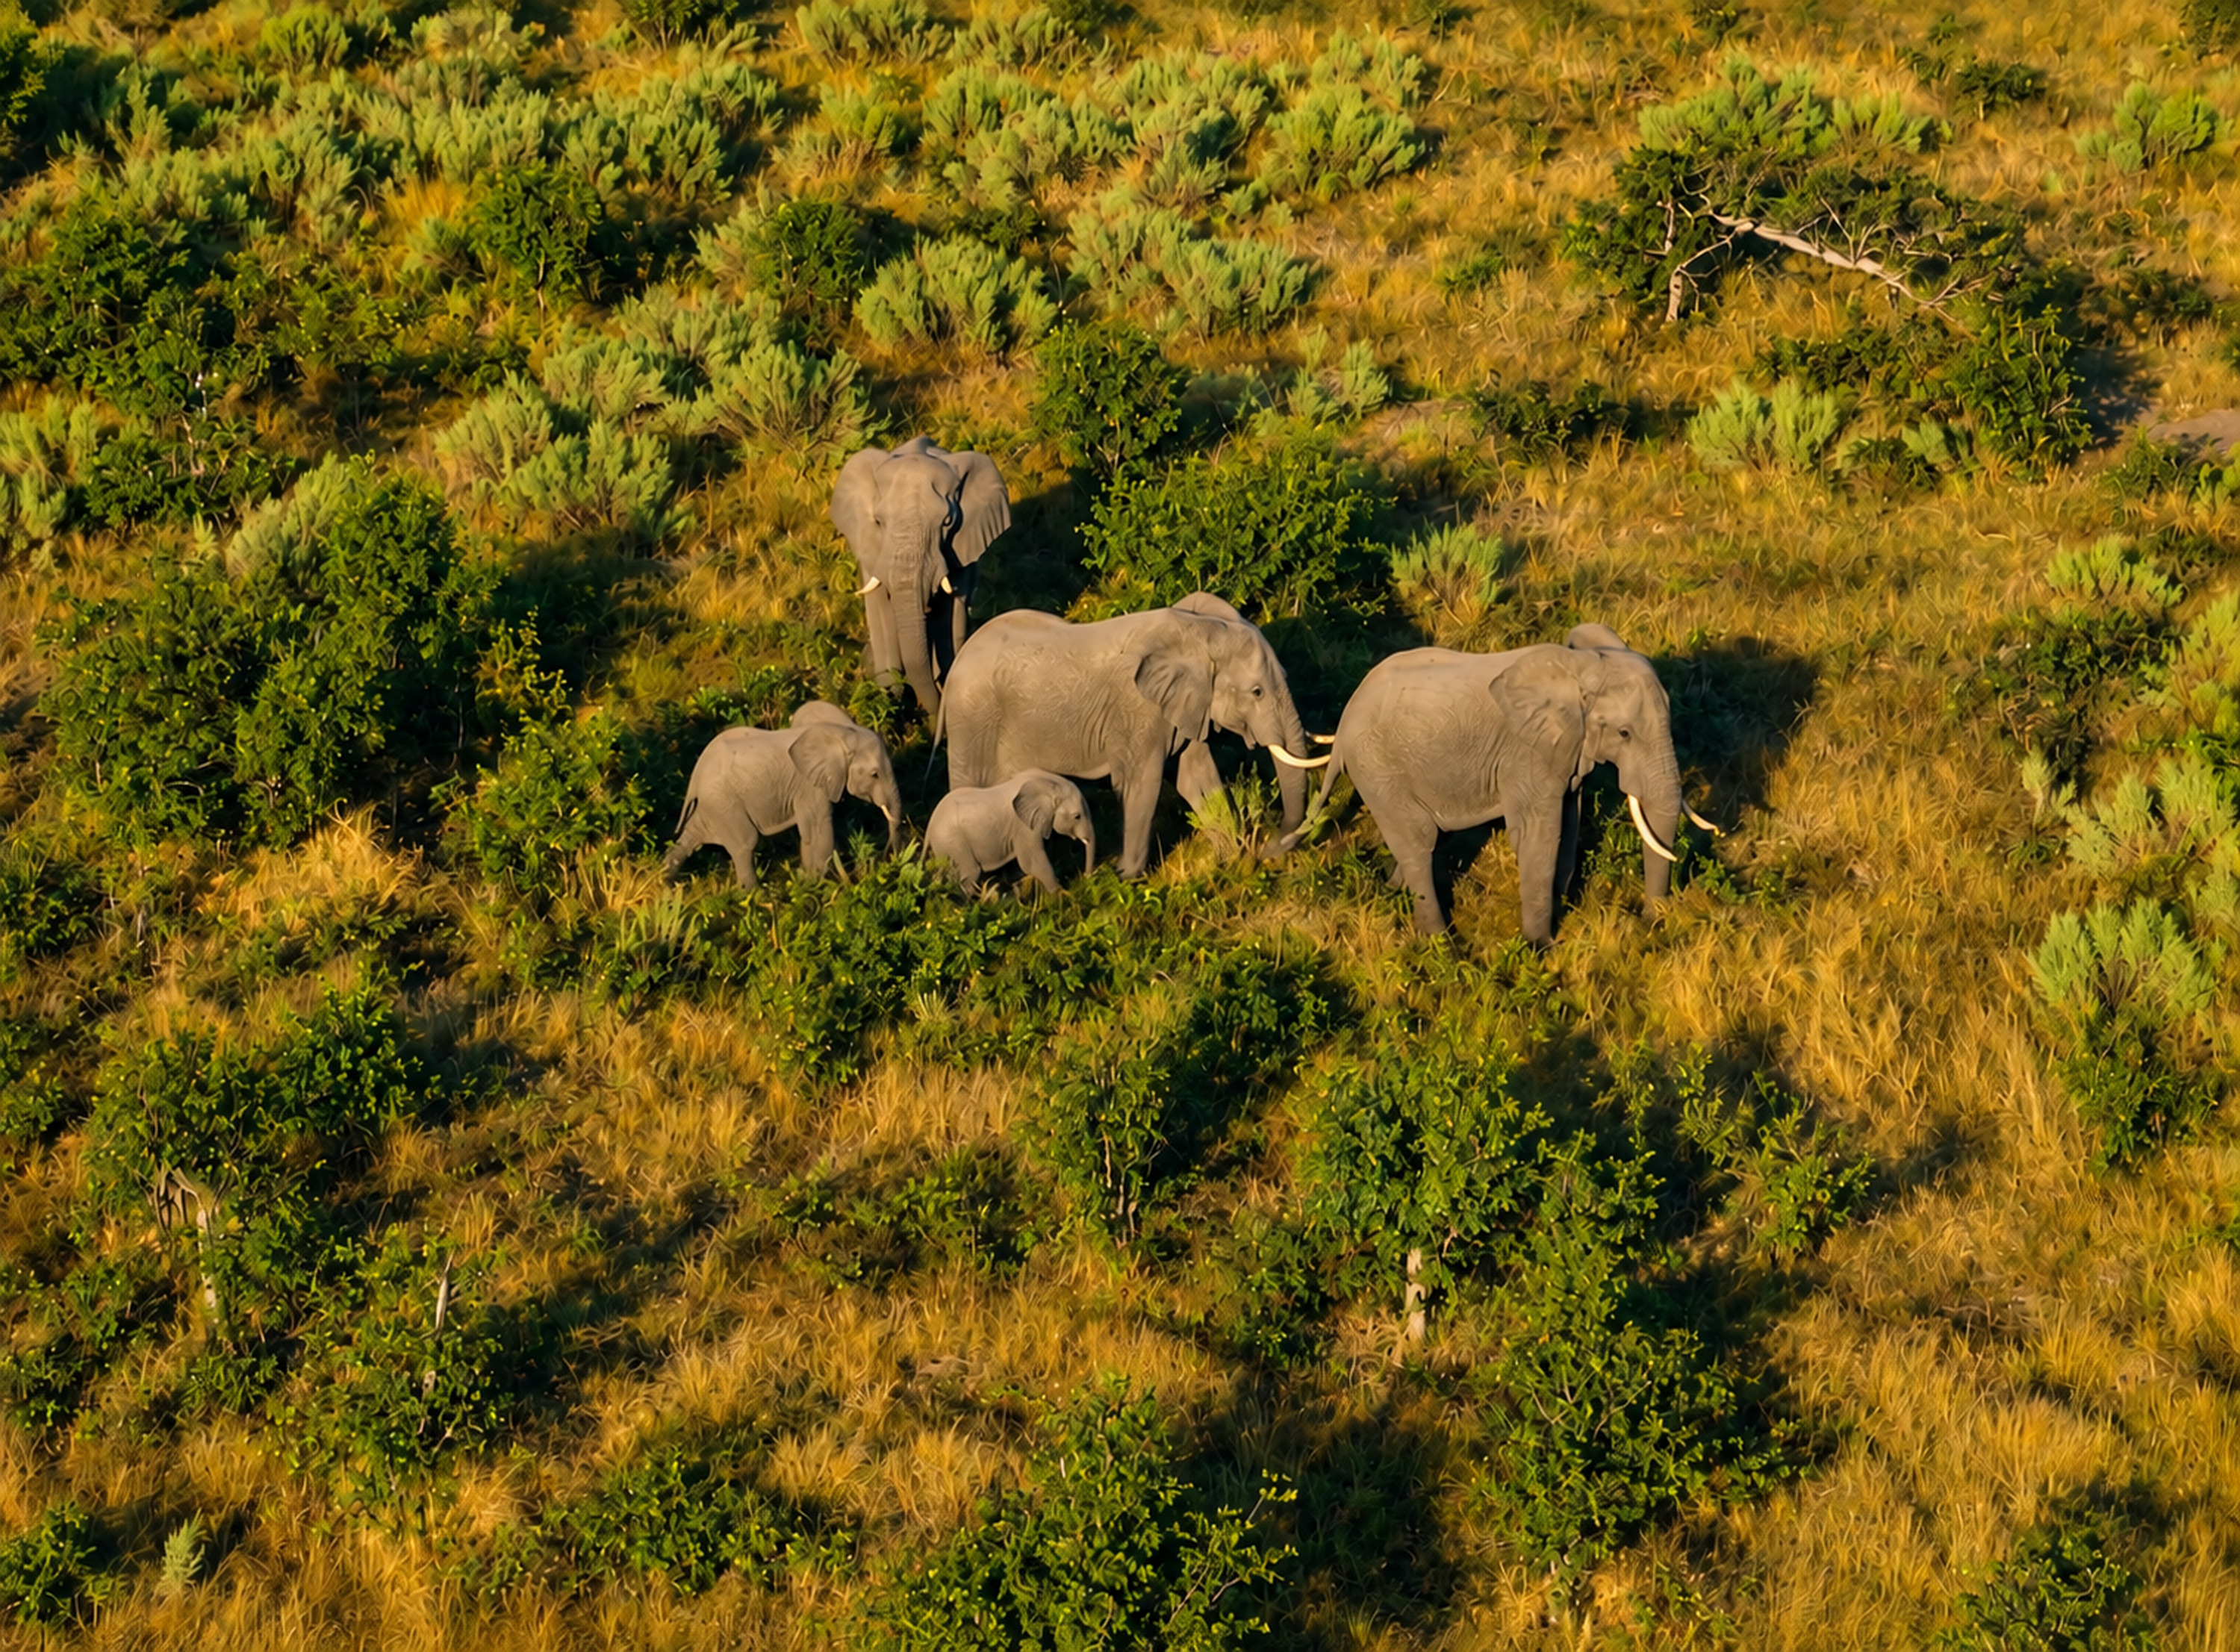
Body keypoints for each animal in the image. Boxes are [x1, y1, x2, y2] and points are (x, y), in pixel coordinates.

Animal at [663, 700, 904, 889]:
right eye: (875, 775)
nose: (887, 857)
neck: (844, 733)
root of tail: (695, 776)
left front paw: (807, 878)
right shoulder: (809, 786)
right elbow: (818, 829)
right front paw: (814, 881)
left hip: (714, 804)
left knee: (690, 838)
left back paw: (665, 883)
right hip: (724, 803)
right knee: (745, 844)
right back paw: (752, 895)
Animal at [830, 436, 1012, 719]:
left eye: (948, 522)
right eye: (879, 522)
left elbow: (950, 608)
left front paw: (944, 679)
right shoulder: (872, 550)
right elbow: (881, 605)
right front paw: (893, 694)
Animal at [926, 769, 1096, 894]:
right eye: (1077, 816)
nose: (1085, 878)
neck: (1049, 784)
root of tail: (930, 825)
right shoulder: (1024, 827)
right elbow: (1032, 862)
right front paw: (1061, 894)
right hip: (953, 842)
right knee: (969, 875)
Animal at [940, 591, 1330, 879]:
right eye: (1257, 692)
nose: (1267, 849)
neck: (1203, 631)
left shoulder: (1185, 708)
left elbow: (1196, 777)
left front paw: (1229, 858)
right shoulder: (1136, 711)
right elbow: (1140, 784)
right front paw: (1128, 877)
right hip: (972, 725)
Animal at [1282, 623, 1717, 943]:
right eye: (1624, 733)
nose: (1648, 922)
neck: (1582, 666)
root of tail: (1343, 725)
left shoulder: (1566, 751)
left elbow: (1569, 820)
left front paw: (1562, 905)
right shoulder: (1525, 756)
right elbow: (1539, 835)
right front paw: (1541, 948)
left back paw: (1395, 894)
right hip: (1377, 767)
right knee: (1419, 840)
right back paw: (1443, 946)